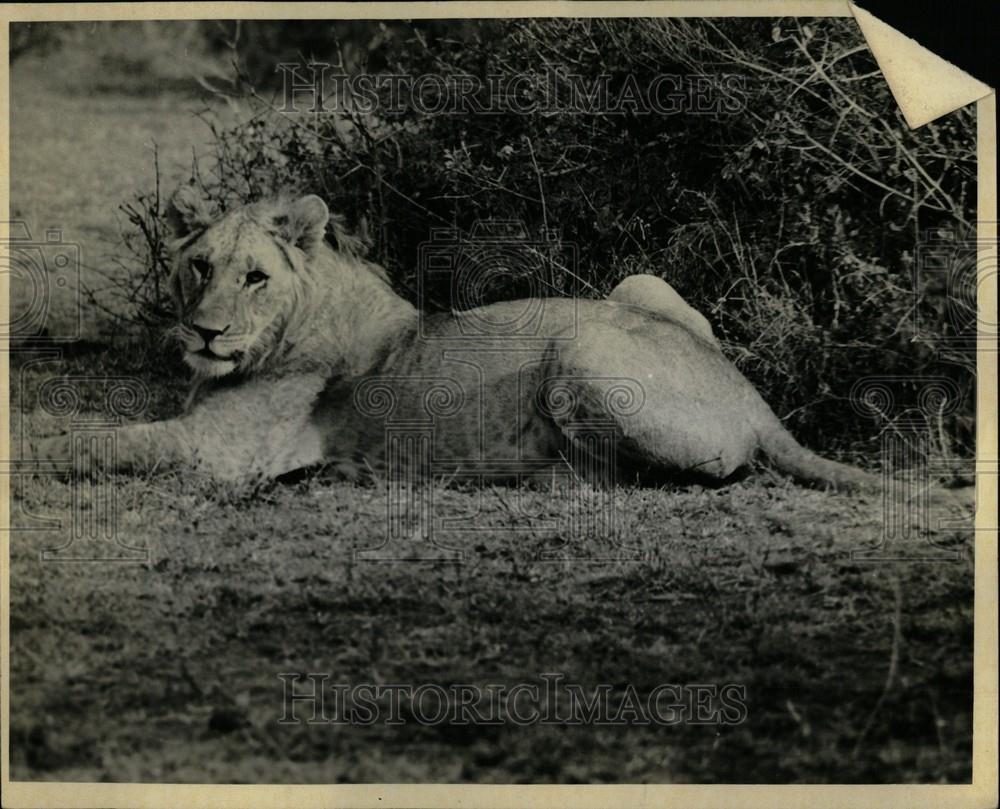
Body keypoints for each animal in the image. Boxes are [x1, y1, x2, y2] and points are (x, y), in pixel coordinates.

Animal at [29, 191, 884, 492]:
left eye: (255, 277)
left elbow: (91, 442)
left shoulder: (223, 455)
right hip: (638, 283)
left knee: (672, 474)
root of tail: (755, 399)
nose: (204, 331)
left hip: (580, 352)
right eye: (199, 266)